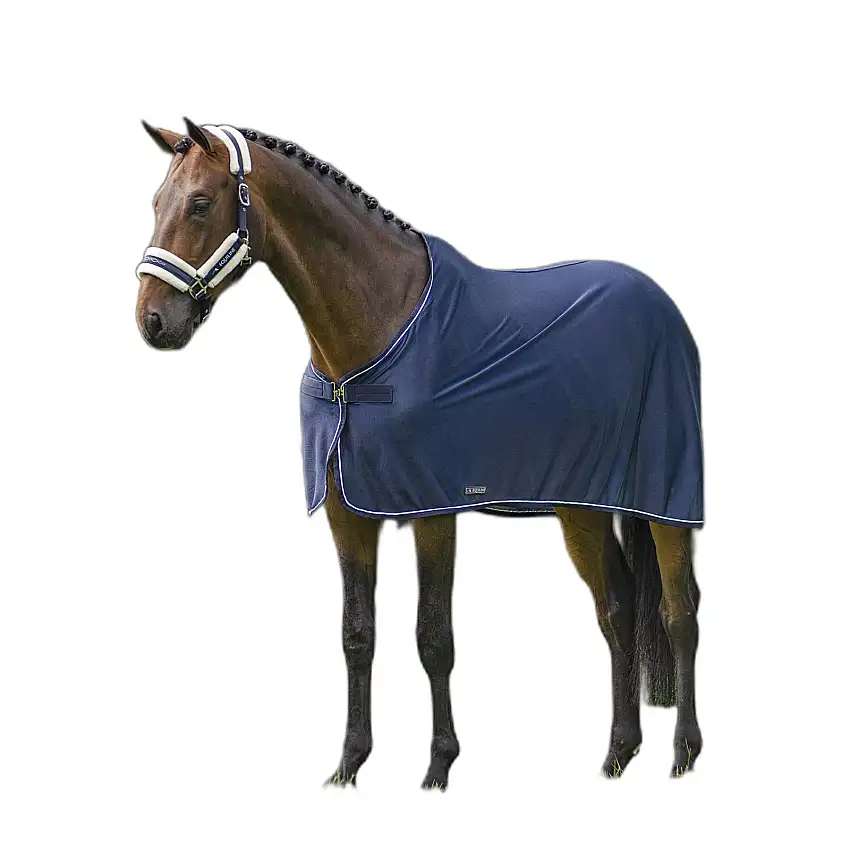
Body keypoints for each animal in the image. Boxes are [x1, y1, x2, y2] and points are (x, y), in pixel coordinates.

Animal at [135, 119, 703, 788]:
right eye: (155, 203)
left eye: (199, 204)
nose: (152, 321)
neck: (374, 332)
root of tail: (660, 305)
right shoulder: (348, 514)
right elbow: (358, 634)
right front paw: (349, 764)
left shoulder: (432, 510)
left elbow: (434, 637)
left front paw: (438, 765)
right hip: (581, 508)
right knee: (616, 610)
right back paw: (618, 752)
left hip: (666, 499)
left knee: (678, 611)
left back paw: (683, 752)